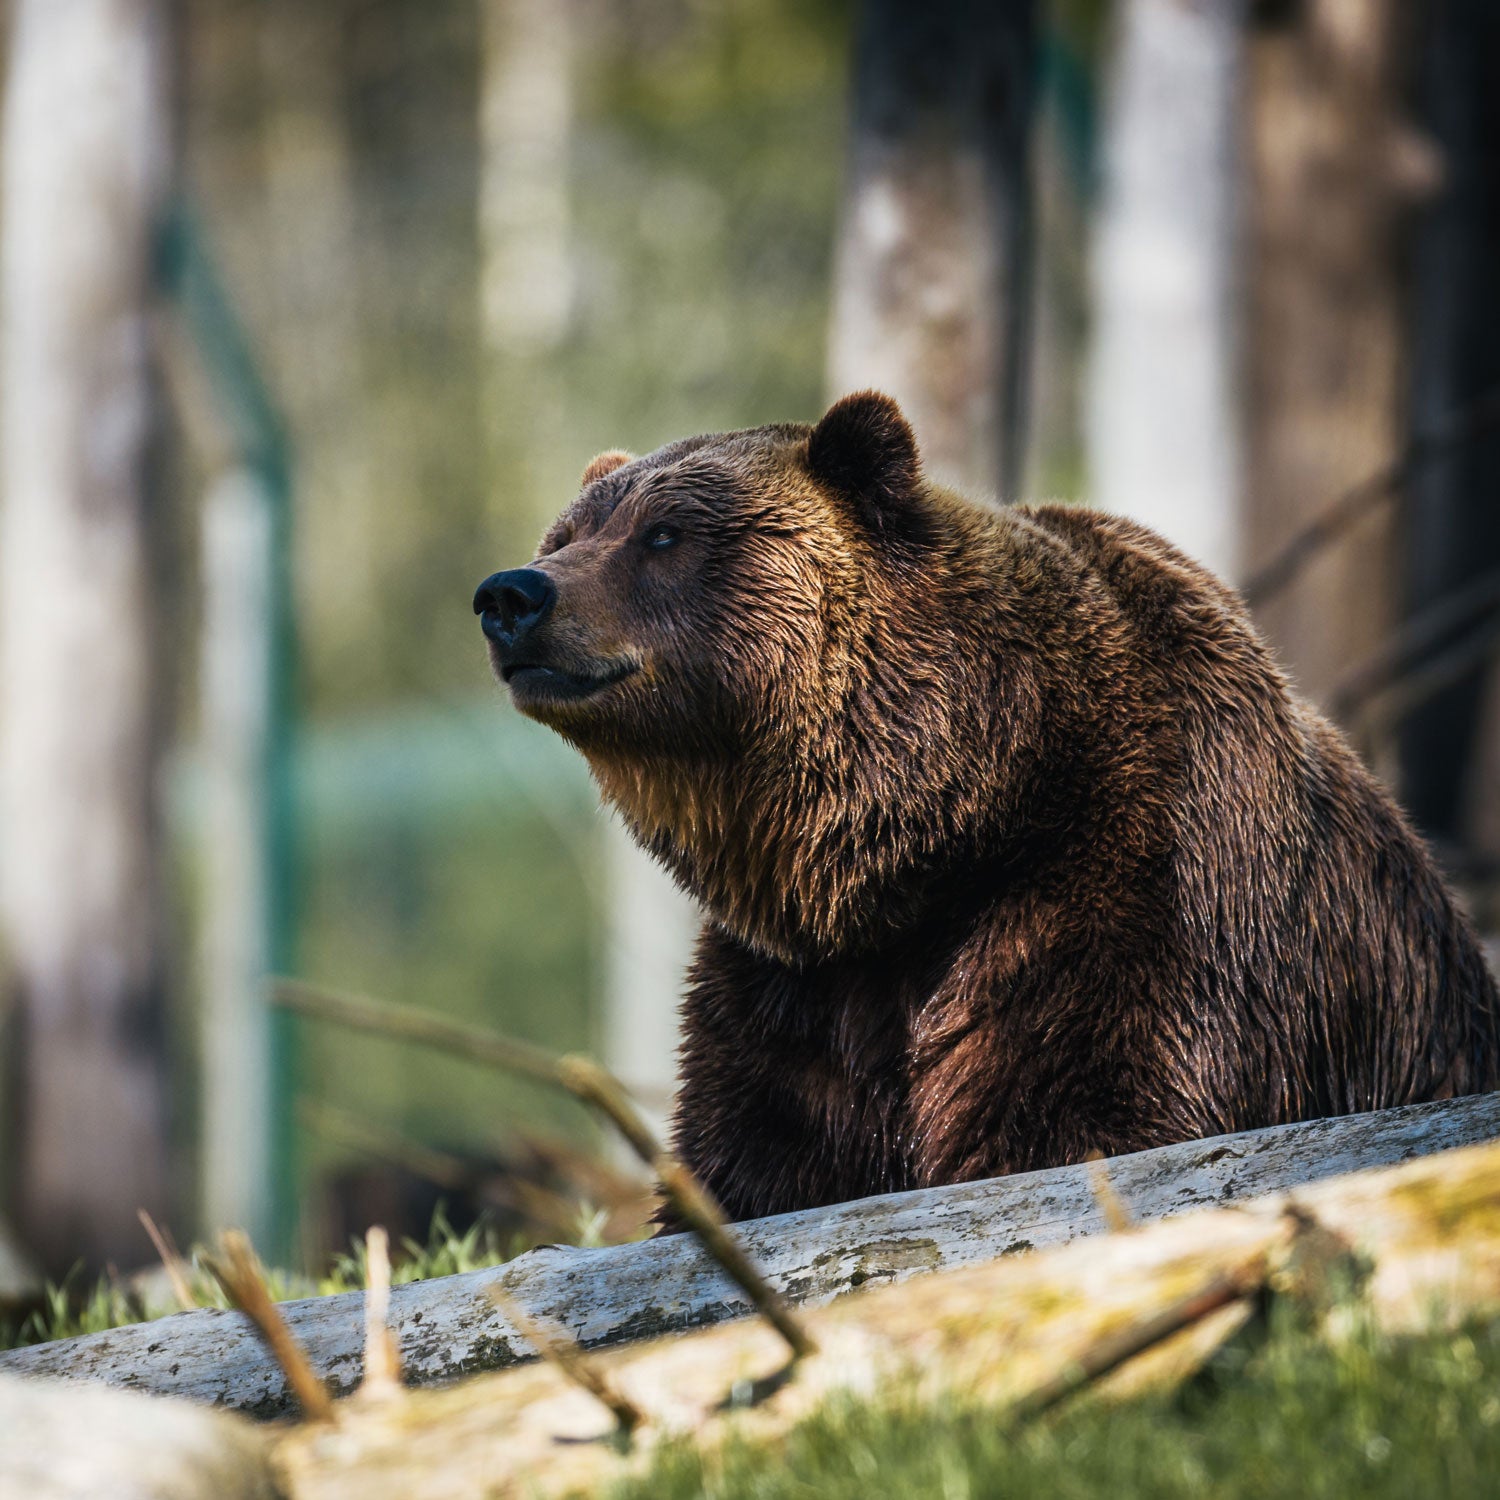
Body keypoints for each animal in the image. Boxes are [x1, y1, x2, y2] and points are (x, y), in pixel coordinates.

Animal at [471, 393, 1500, 1224]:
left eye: (664, 535)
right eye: (566, 535)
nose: (511, 593)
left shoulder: (1136, 891)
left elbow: (1083, 1114)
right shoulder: (796, 991)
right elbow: (759, 1158)